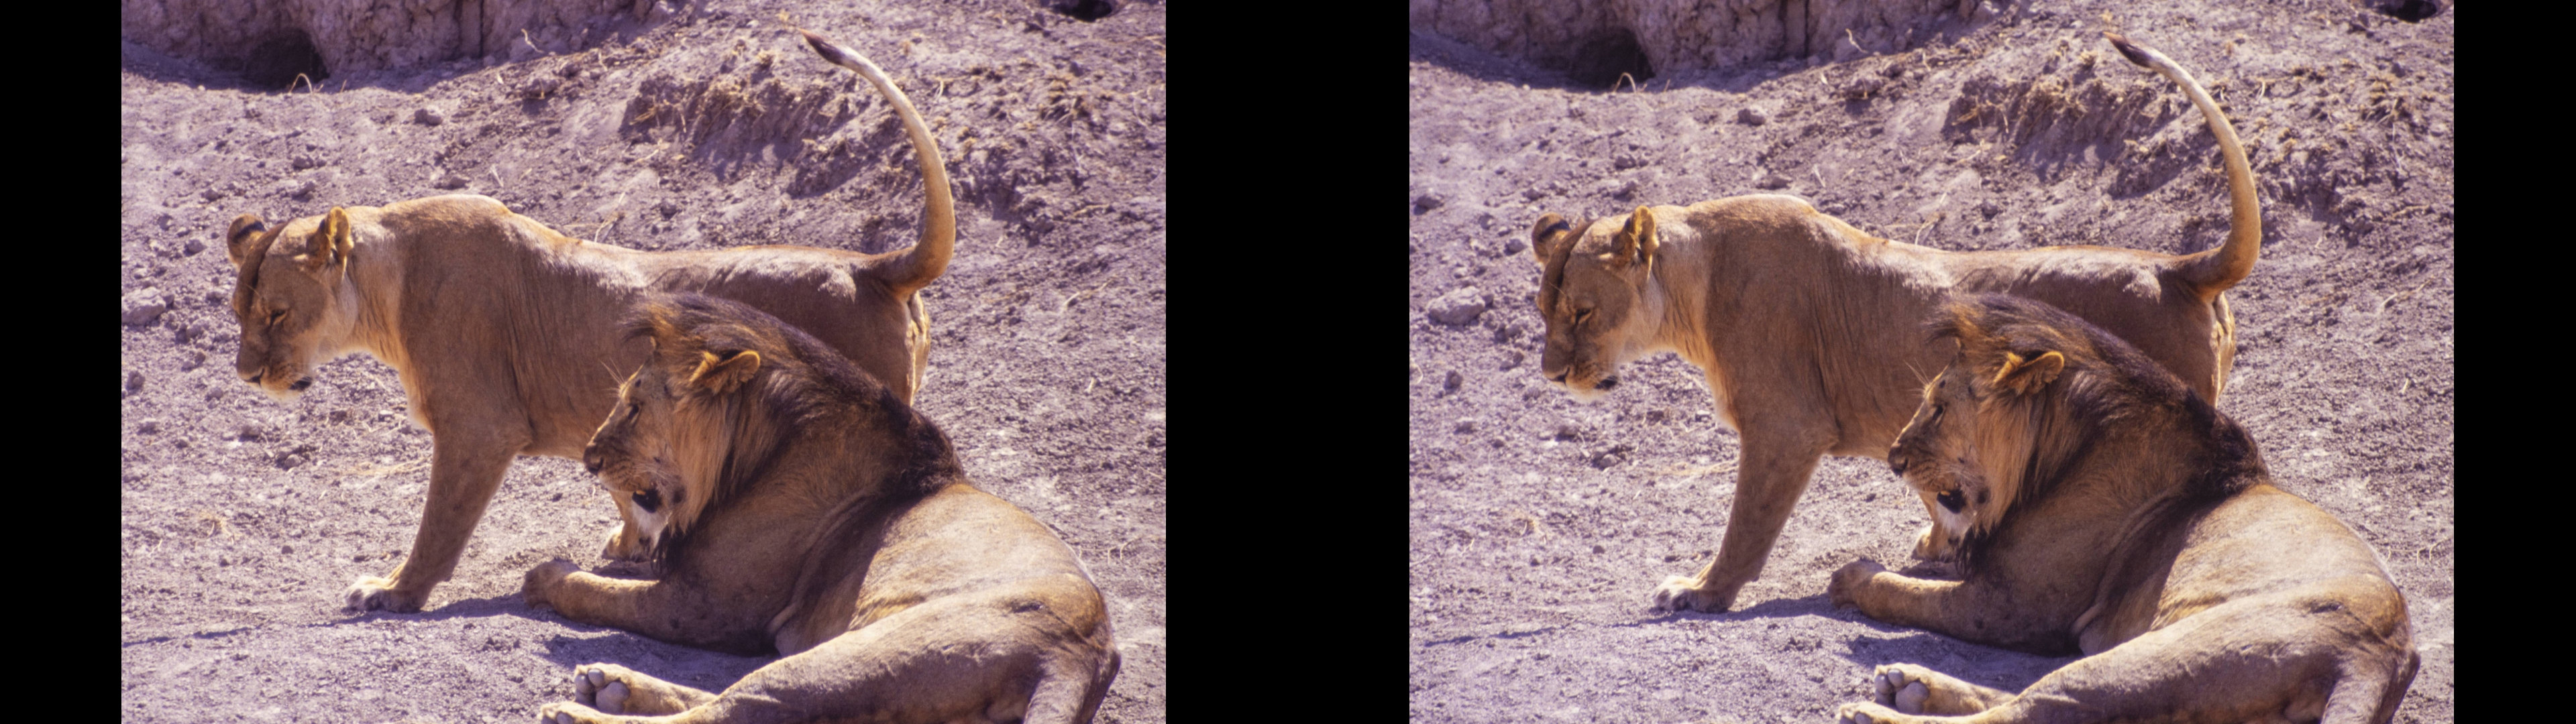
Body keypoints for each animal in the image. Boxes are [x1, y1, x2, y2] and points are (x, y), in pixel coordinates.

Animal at [224, 26, 956, 612]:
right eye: (238, 312)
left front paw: (395, 592)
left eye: (278, 313)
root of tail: (872, 265)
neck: (388, 283)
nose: (247, 375)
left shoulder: (479, 428)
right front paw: (633, 542)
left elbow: (439, 524)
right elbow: (623, 480)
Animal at [522, 293, 1119, 724]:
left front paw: (547, 577)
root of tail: (1079, 656)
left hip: (859, 655)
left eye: (635, 406)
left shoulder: (708, 608)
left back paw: (578, 711)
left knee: (736, 708)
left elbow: (603, 594)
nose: (590, 459)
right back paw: (613, 686)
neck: (759, 450)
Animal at [1527, 32, 2263, 613]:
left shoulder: (1786, 427)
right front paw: (1939, 542)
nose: (1553, 375)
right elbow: (1935, 483)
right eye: (1543, 310)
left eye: (1583, 311)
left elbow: (1746, 524)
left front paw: (1703, 591)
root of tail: (2177, 267)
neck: (1694, 284)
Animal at [1823, 294, 2415, 724]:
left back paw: (1876, 712)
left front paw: (1854, 578)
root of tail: (2377, 658)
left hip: (2155, 656)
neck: (2062, 451)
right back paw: (1912, 686)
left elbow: (1909, 594)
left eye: (1941, 408)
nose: (1895, 459)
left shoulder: (2014, 608)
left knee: (2031, 709)